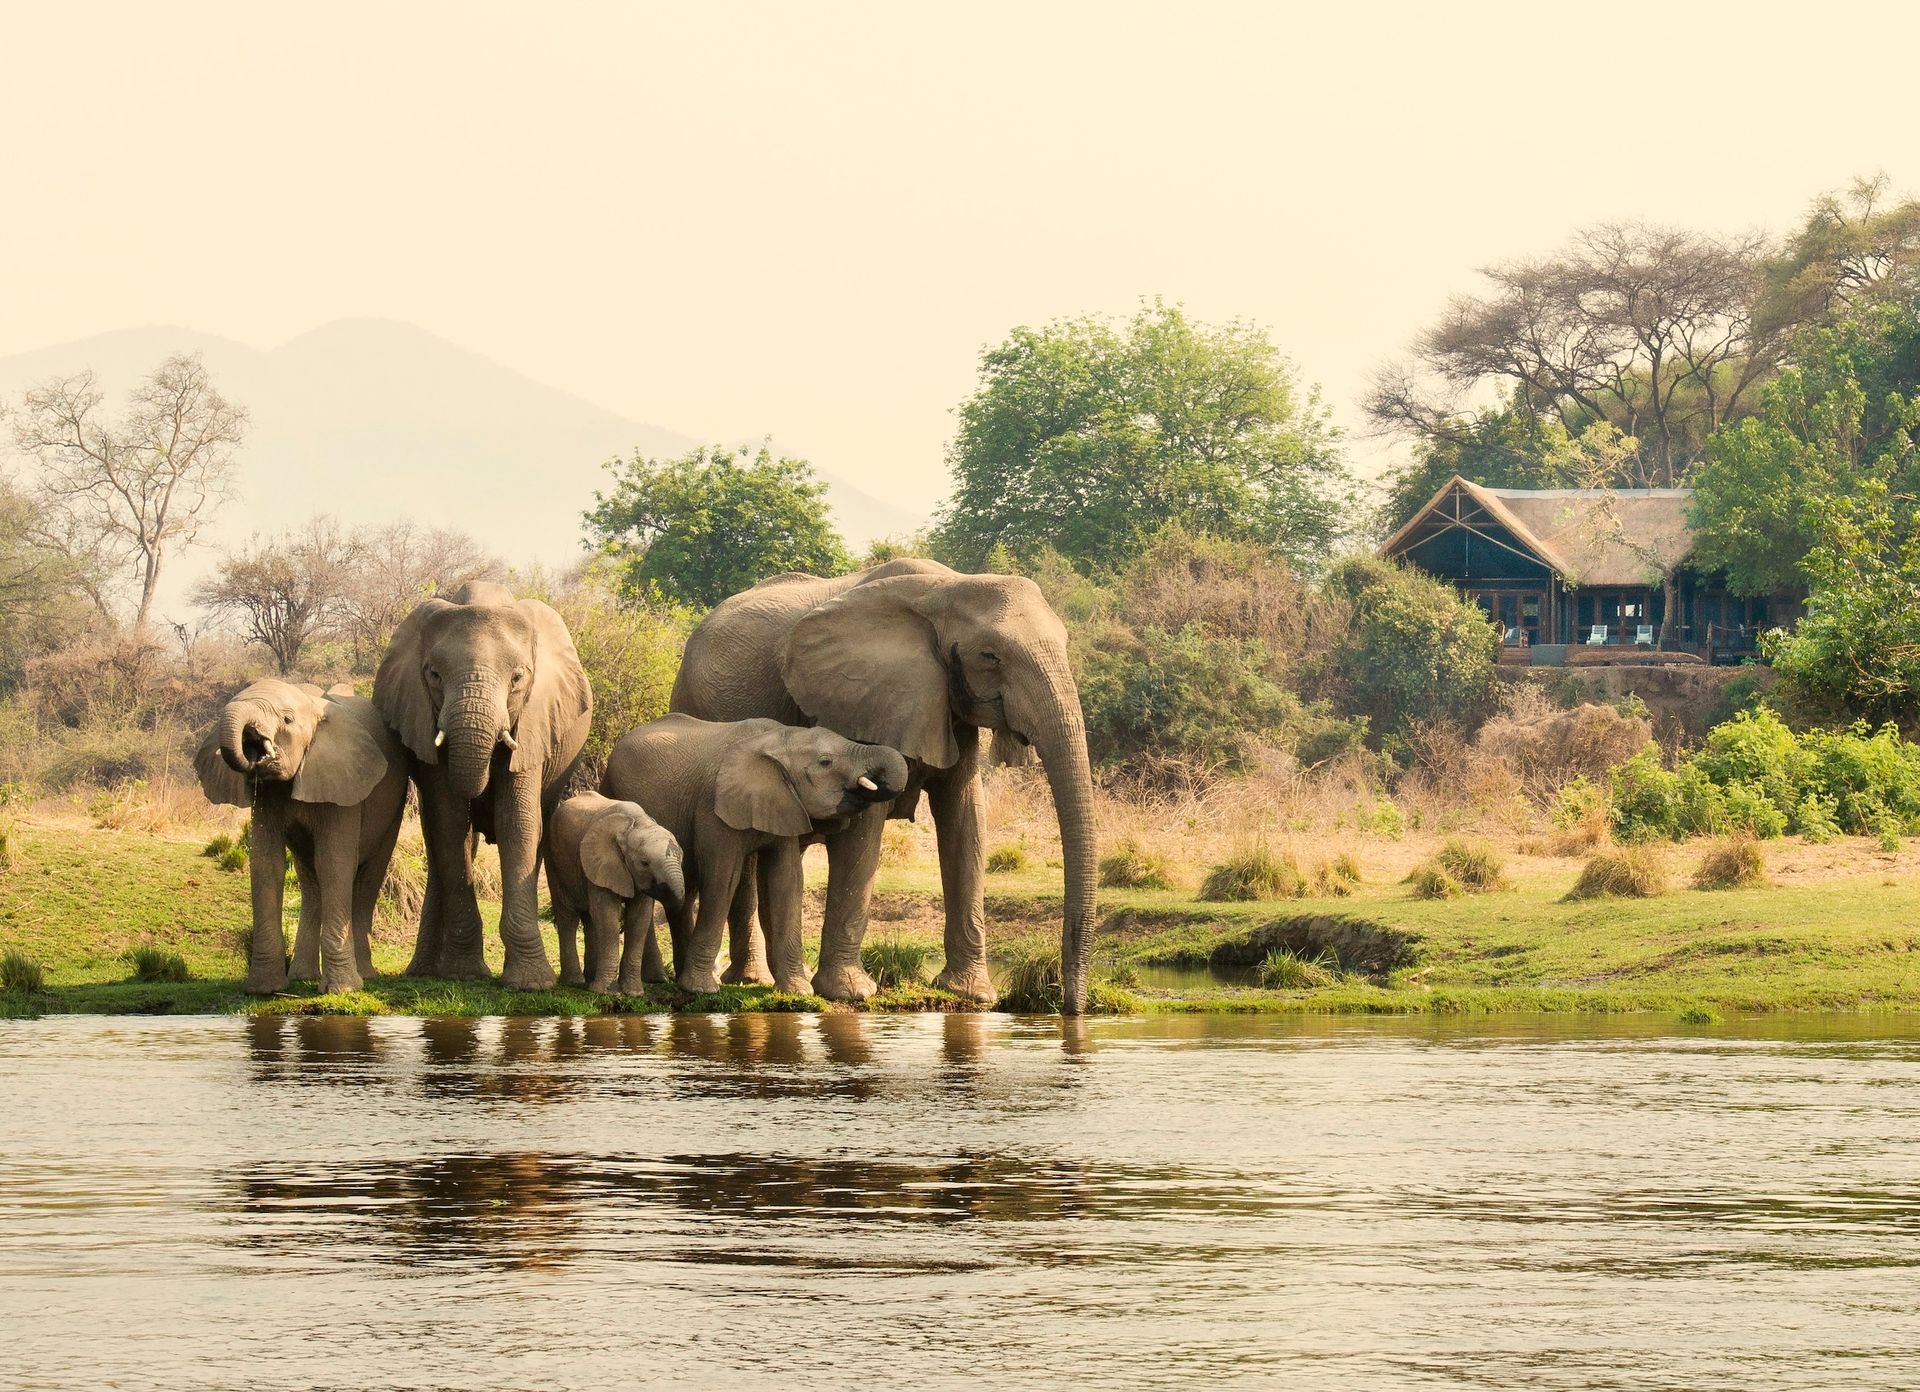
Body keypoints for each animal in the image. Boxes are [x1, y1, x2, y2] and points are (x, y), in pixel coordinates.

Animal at [194, 679, 408, 995]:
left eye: (287, 719)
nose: (253, 749)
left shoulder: (342, 782)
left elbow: (334, 863)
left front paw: (342, 991)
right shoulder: (268, 796)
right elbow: (266, 864)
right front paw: (263, 989)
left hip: (393, 809)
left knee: (367, 876)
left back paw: (365, 976)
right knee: (310, 877)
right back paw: (302, 977)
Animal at [373, 581, 591, 990]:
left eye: (518, 678)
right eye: (434, 675)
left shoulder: (534, 722)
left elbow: (517, 823)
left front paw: (530, 984)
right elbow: (450, 824)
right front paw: (464, 975)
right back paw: (424, 971)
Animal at [545, 792, 685, 994]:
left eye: (681, 858)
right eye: (644, 863)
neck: (637, 823)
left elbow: (639, 919)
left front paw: (634, 993)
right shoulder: (601, 861)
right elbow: (608, 915)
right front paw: (605, 992)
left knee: (590, 918)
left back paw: (590, 979)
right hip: (553, 857)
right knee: (568, 916)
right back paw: (575, 982)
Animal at [600, 714, 908, 994]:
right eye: (825, 762)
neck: (778, 740)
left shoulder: (785, 803)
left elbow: (786, 880)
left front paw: (797, 991)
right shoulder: (714, 809)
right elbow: (723, 878)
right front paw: (701, 989)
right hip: (617, 794)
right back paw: (657, 980)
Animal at [669, 559, 1097, 1013]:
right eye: (989, 656)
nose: (1068, 1007)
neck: (947, 587)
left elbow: (965, 818)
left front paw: (972, 994)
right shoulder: (861, 699)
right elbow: (864, 828)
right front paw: (851, 992)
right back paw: (751, 980)